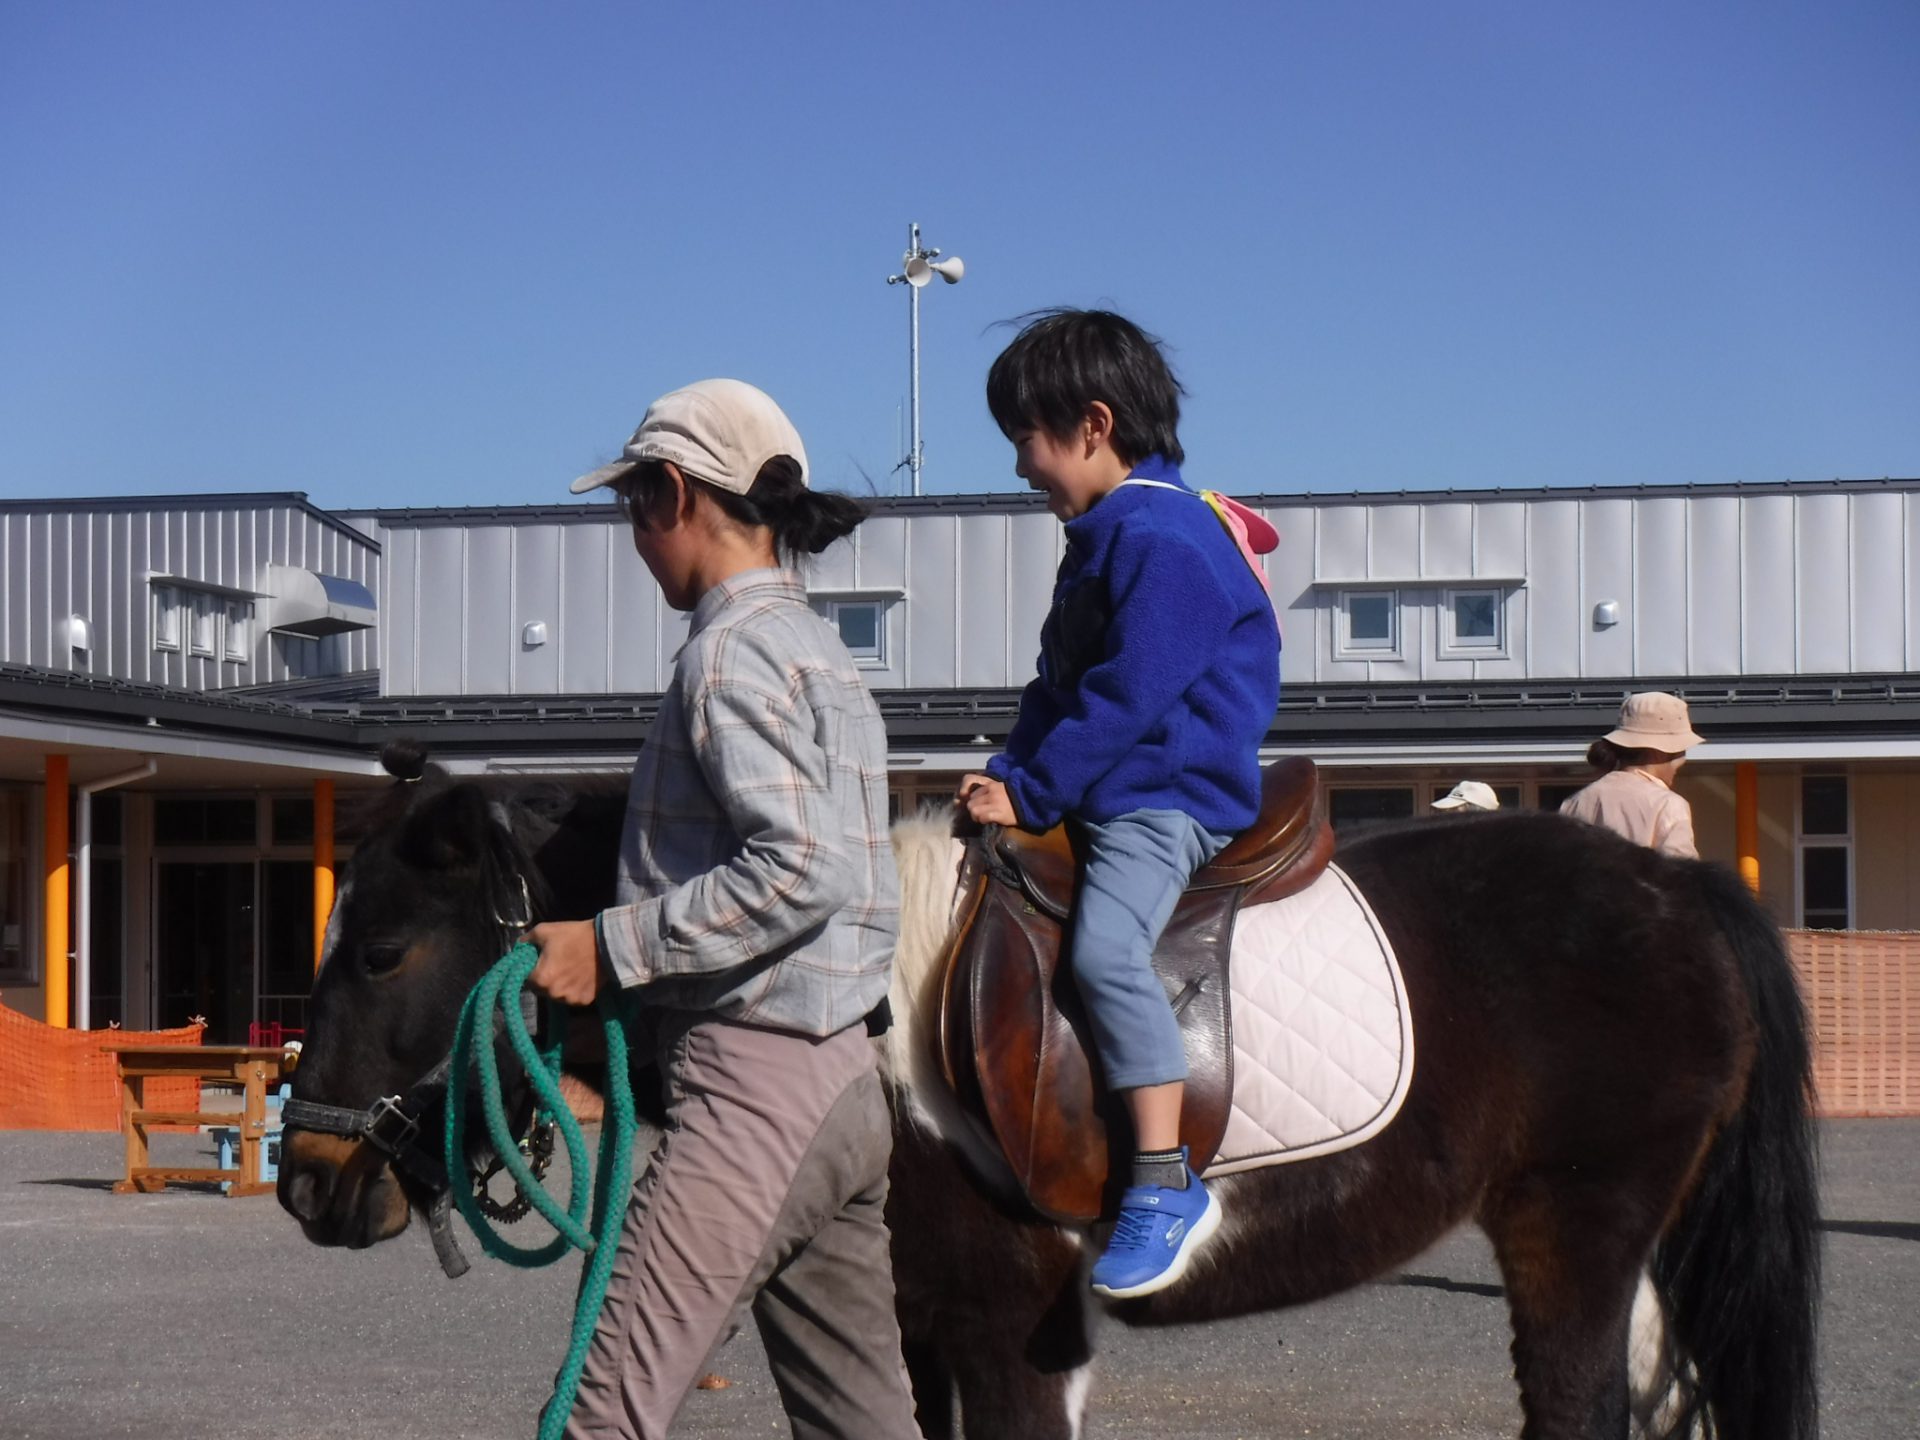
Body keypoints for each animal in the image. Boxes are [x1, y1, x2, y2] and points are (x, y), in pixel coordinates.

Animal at [279, 742, 1819, 1440]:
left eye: (382, 948)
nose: (305, 1180)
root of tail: (1674, 885)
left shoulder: (1008, 1324)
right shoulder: (920, 1320)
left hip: (1576, 1233)